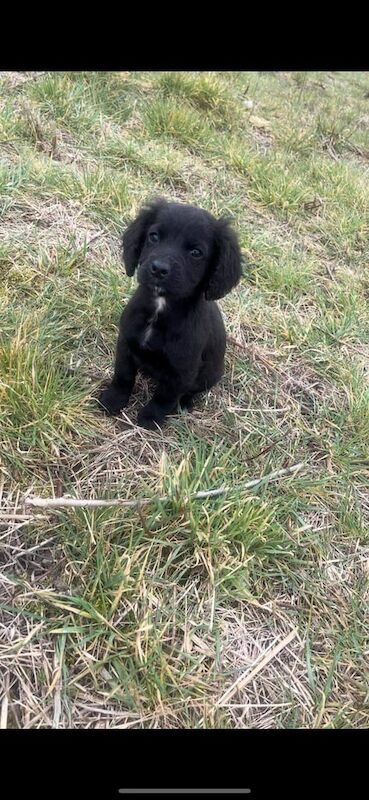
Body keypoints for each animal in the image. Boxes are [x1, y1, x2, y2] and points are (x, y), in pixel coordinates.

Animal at [98, 197, 242, 428]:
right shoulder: (126, 343)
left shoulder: (182, 370)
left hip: (210, 375)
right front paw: (113, 399)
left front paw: (151, 418)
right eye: (154, 236)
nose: (158, 269)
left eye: (196, 253)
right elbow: (123, 375)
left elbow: (165, 396)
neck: (161, 307)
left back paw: (185, 403)